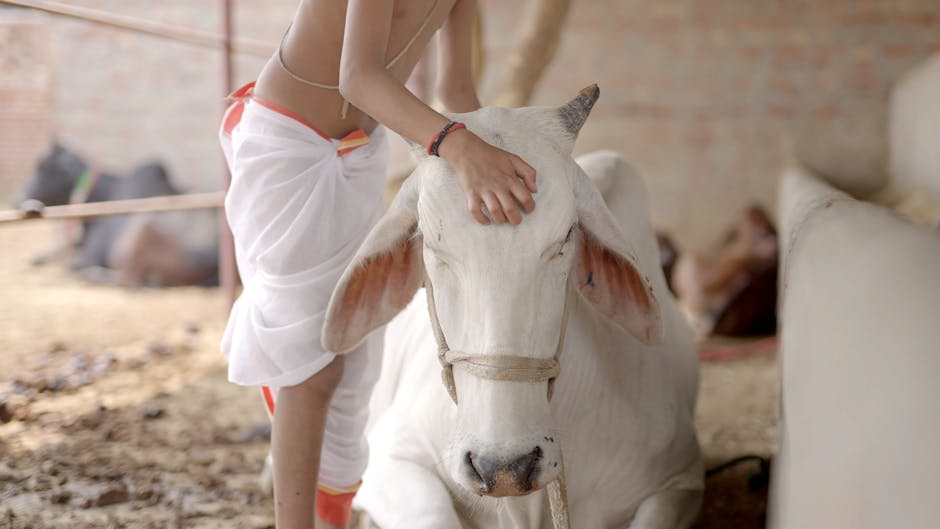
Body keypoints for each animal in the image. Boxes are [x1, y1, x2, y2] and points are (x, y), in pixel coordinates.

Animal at [18, 142, 218, 286]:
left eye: (43, 166)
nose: (18, 199)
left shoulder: (92, 255)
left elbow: (72, 262)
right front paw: (37, 258)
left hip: (140, 231)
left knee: (127, 281)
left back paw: (95, 274)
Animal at [320, 86, 700, 528]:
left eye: (565, 237)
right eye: (431, 243)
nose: (503, 466)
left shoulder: (679, 479)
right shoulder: (391, 458)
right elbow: (433, 513)